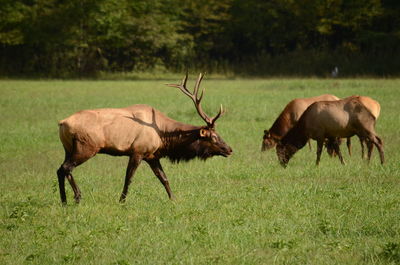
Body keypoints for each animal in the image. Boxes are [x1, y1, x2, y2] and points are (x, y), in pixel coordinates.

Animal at [55, 73, 231, 203]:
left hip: (68, 149)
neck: (163, 138)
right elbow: (129, 178)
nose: (229, 149)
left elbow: (164, 178)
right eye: (213, 136)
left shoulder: (152, 155)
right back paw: (77, 197)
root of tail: (62, 123)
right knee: (66, 168)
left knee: (60, 169)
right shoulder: (138, 151)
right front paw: (121, 201)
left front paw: (174, 199)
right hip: (87, 147)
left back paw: (64, 201)